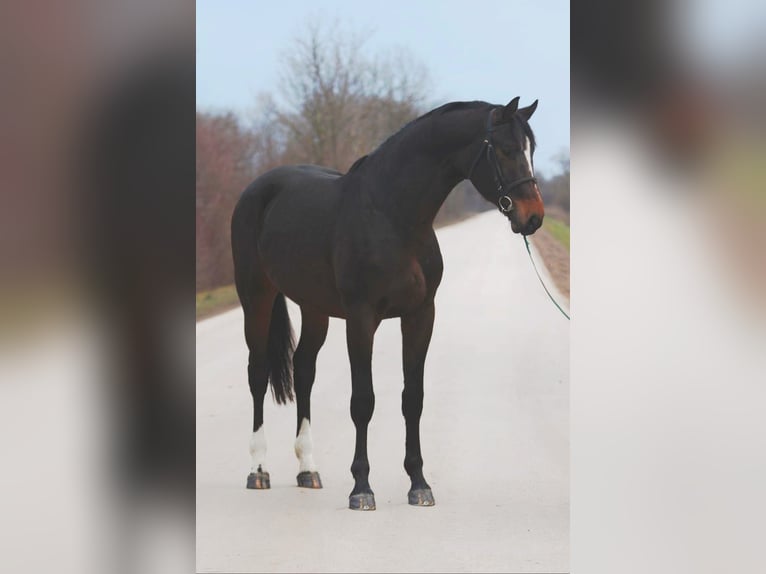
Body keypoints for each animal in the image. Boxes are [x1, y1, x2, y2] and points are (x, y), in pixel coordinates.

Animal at [231, 99, 544, 512]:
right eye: (506, 150)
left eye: (531, 149)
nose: (534, 217)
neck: (392, 216)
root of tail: (257, 188)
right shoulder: (362, 318)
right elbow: (363, 401)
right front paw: (362, 487)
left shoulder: (420, 315)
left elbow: (413, 399)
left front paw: (419, 484)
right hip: (256, 296)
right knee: (258, 371)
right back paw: (258, 470)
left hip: (314, 308)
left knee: (304, 370)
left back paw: (308, 468)